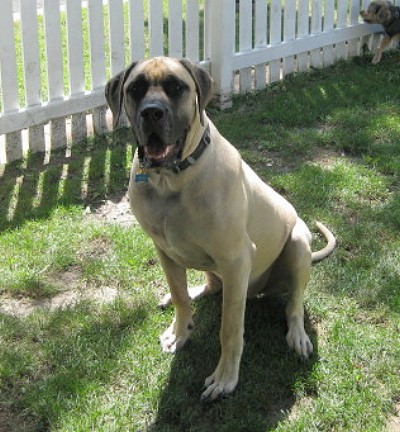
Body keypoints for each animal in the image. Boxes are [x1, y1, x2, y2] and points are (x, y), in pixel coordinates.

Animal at [105, 57, 334, 402]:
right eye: (135, 88)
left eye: (176, 87)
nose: (151, 112)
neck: (171, 180)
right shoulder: (164, 251)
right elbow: (180, 294)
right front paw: (179, 330)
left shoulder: (237, 259)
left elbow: (230, 328)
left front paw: (225, 378)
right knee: (210, 286)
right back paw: (189, 293)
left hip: (296, 244)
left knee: (293, 304)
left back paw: (297, 335)